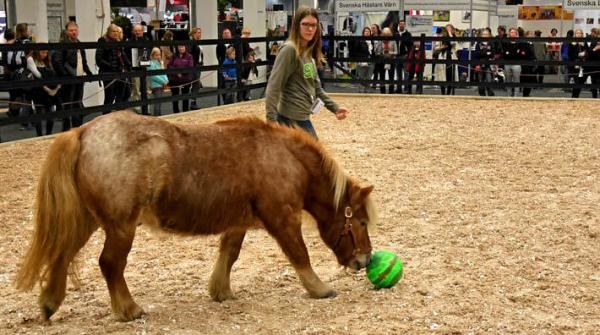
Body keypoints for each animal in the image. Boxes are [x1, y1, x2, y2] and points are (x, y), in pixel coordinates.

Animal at [15, 112, 376, 322]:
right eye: (359, 222)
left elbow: (229, 254)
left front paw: (220, 290)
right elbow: (299, 255)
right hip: (120, 227)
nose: (365, 260)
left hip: (89, 221)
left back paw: (49, 303)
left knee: (63, 254)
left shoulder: (238, 223)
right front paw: (319, 288)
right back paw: (129, 309)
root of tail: (83, 131)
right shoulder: (283, 219)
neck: (283, 157)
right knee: (110, 264)